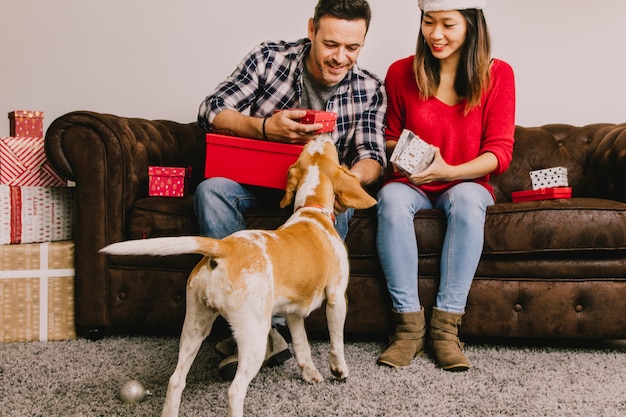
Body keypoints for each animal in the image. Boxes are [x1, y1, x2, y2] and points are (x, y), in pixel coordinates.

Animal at [100, 135, 376, 414]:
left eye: (310, 150)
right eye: (328, 150)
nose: (322, 135)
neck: (311, 209)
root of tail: (223, 247)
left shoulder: (294, 313)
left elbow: (302, 346)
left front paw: (310, 374)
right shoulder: (337, 299)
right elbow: (336, 341)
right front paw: (339, 370)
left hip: (195, 325)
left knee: (176, 380)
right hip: (253, 334)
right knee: (234, 390)